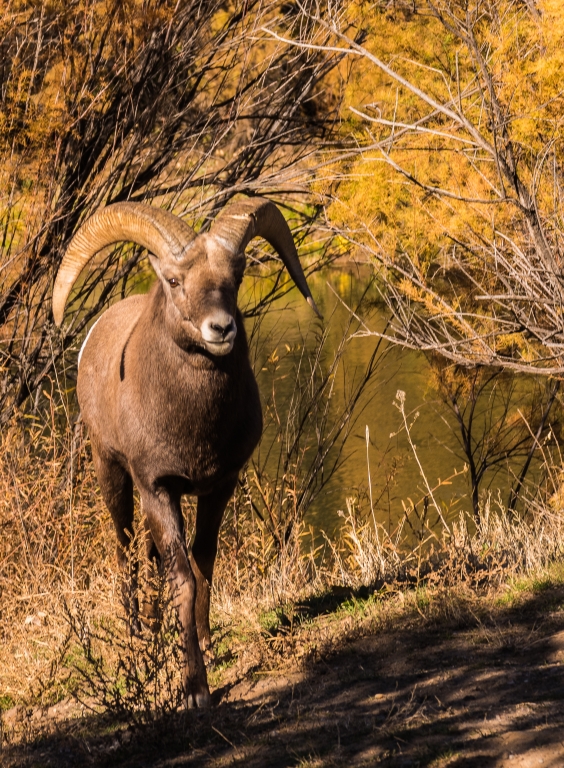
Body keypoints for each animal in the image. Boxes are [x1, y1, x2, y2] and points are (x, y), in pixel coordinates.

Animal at [53, 196, 320, 708]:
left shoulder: (218, 487)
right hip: (112, 475)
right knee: (125, 549)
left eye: (235, 276)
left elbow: (202, 562)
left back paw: (157, 633)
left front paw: (209, 649)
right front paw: (196, 690)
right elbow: (182, 578)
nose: (221, 328)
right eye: (175, 281)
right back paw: (138, 637)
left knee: (149, 554)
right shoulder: (158, 488)